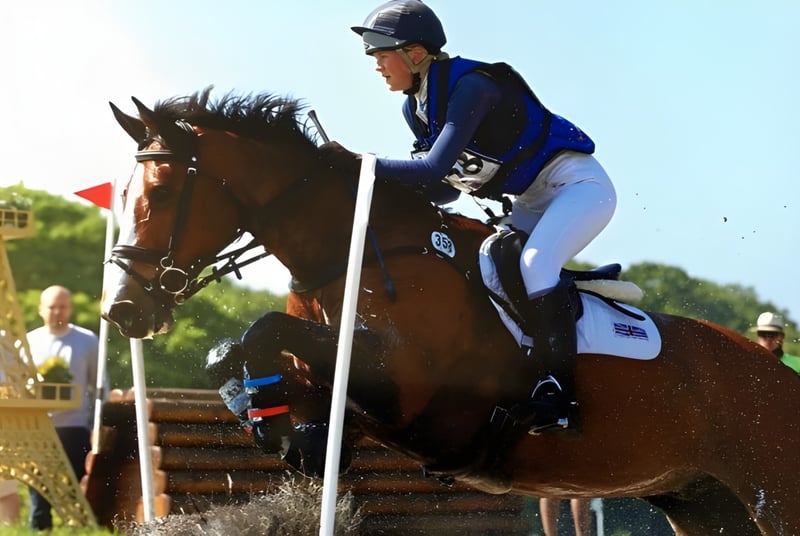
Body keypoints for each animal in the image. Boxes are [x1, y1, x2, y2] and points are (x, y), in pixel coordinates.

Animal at [100, 88, 800, 535]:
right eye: (124, 193)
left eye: (161, 192)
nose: (122, 311)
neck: (351, 254)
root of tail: (779, 376)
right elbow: (241, 352)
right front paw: (272, 420)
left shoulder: (408, 384)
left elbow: (263, 326)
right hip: (705, 505)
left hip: (775, 498)